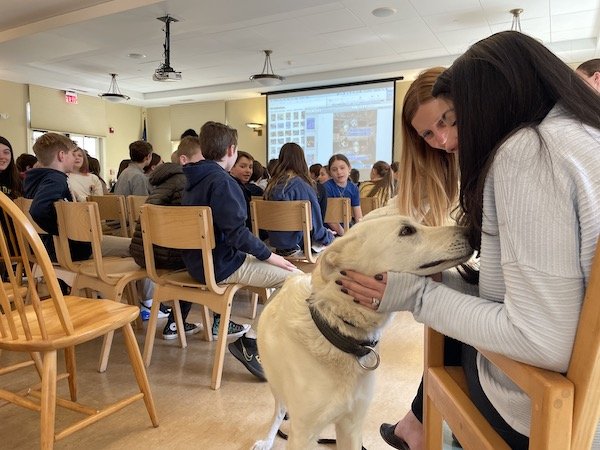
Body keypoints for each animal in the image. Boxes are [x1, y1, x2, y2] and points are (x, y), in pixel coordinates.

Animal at [251, 215, 472, 450]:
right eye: (406, 231)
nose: (471, 232)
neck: (337, 332)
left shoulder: (352, 426)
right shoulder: (304, 435)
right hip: (276, 385)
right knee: (279, 409)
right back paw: (267, 439)